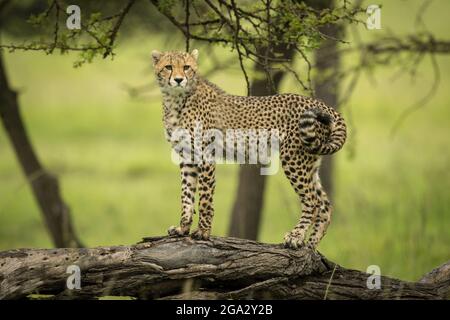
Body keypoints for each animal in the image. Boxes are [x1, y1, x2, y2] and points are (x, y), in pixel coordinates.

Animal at [152, 49, 348, 250]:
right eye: (168, 67)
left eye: (186, 67)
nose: (178, 79)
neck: (176, 100)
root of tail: (321, 104)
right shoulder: (187, 157)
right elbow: (187, 195)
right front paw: (182, 228)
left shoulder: (205, 155)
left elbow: (205, 197)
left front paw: (203, 232)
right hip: (311, 162)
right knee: (325, 205)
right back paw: (311, 245)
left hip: (294, 158)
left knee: (313, 201)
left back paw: (296, 236)